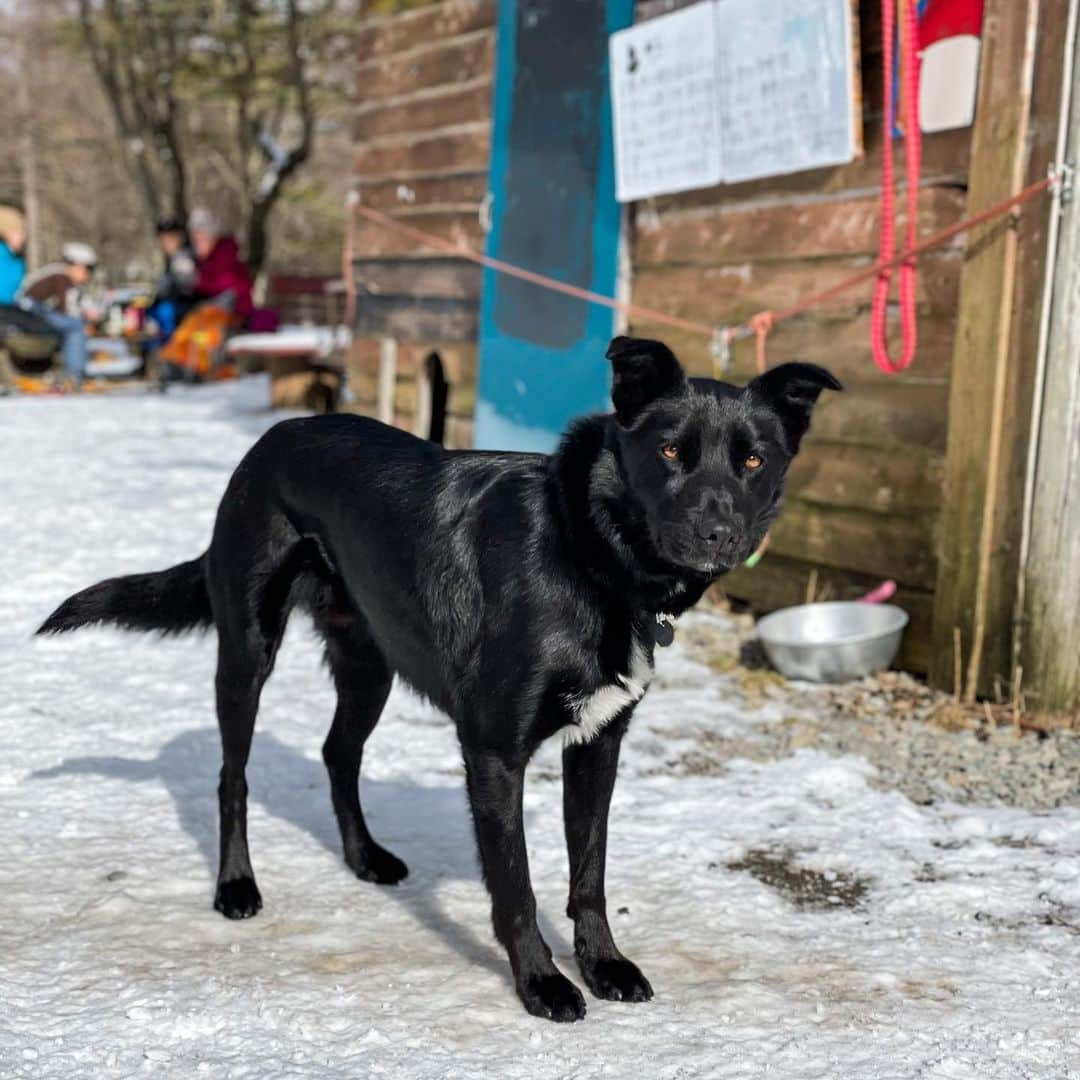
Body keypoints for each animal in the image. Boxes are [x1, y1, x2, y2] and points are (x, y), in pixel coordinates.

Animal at [38, 336, 838, 1019]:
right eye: (672, 451)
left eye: (754, 462)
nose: (718, 535)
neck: (588, 551)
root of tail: (271, 438)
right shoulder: (493, 752)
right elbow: (516, 886)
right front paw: (542, 983)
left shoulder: (598, 745)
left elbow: (590, 876)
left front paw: (604, 965)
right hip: (247, 654)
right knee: (232, 776)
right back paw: (236, 886)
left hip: (371, 665)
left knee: (337, 753)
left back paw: (363, 858)